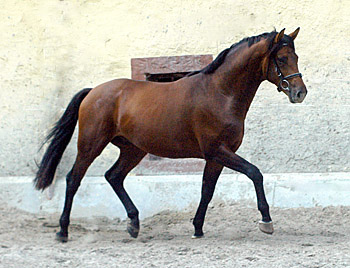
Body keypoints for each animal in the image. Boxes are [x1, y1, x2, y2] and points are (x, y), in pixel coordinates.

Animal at [34, 28, 306, 242]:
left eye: (296, 57)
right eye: (282, 59)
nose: (300, 92)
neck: (220, 92)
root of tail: (93, 91)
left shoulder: (216, 156)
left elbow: (207, 190)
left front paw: (197, 229)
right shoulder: (217, 150)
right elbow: (254, 173)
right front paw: (266, 221)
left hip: (133, 149)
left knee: (114, 176)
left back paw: (133, 224)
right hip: (91, 144)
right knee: (74, 179)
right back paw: (63, 231)